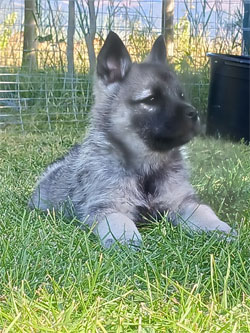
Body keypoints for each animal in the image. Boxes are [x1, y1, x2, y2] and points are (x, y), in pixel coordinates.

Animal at [29, 31, 234, 246]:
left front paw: (221, 229)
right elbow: (119, 221)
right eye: (151, 99)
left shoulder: (183, 201)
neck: (146, 169)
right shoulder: (107, 206)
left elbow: (204, 211)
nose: (194, 114)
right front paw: (126, 239)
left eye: (181, 95)